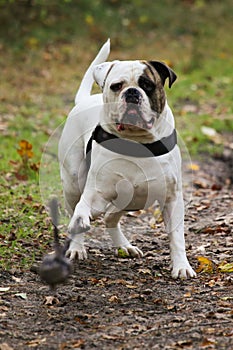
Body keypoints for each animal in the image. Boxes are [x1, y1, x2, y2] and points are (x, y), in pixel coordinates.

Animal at [58, 39, 197, 278]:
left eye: (147, 85)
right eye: (116, 86)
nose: (132, 92)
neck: (136, 140)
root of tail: (84, 100)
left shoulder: (172, 198)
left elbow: (177, 236)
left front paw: (181, 266)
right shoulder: (95, 191)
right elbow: (82, 209)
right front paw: (80, 221)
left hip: (130, 199)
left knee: (110, 217)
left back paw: (123, 245)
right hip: (73, 184)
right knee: (83, 208)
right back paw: (77, 247)